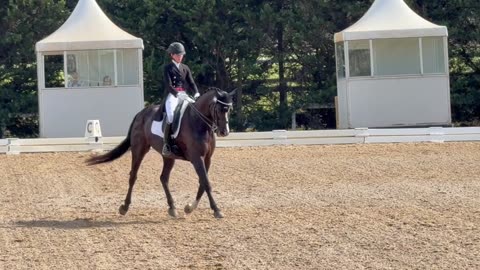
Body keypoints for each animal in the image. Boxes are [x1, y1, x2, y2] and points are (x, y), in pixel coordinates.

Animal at [87, 87, 236, 218]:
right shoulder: (196, 157)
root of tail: (141, 113)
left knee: (163, 178)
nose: (224, 132)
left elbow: (202, 183)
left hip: (168, 156)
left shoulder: (207, 158)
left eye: (229, 109)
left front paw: (190, 207)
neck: (199, 123)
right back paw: (124, 207)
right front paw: (216, 210)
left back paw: (172, 208)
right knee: (133, 176)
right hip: (139, 149)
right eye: (218, 109)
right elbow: (206, 182)